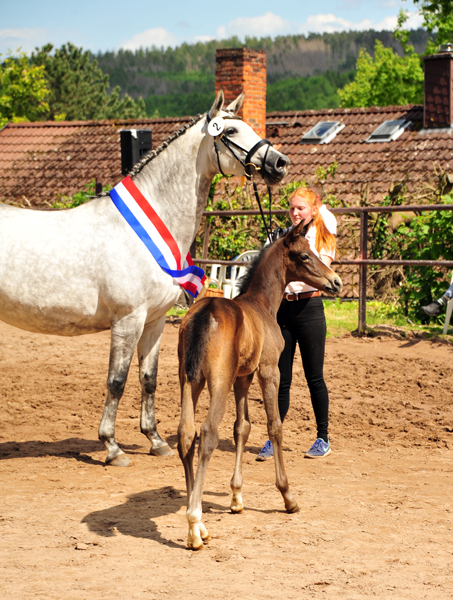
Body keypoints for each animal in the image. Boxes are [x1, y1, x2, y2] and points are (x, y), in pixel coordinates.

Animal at [177, 220, 342, 548]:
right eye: (304, 255)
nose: (336, 282)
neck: (262, 305)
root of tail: (204, 312)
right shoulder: (269, 371)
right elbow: (274, 425)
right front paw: (288, 496)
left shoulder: (244, 377)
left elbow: (242, 427)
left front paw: (236, 498)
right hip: (217, 382)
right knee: (207, 434)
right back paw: (194, 524)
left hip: (189, 380)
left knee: (187, 434)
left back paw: (199, 524)